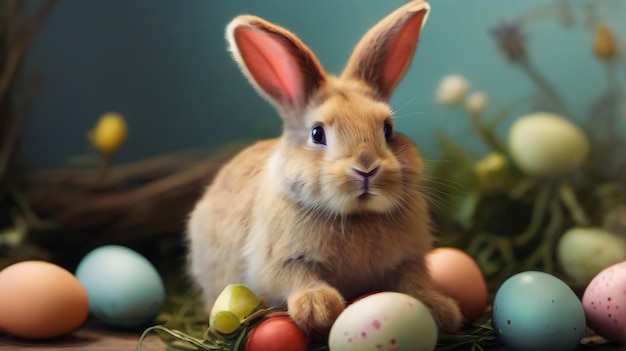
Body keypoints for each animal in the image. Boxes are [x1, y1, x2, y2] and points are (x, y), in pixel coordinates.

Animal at [183, 0, 460, 336]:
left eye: (388, 130)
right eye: (317, 134)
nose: (366, 168)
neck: (356, 217)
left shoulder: (409, 260)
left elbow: (414, 283)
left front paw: (442, 310)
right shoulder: (280, 261)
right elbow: (296, 277)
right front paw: (319, 308)